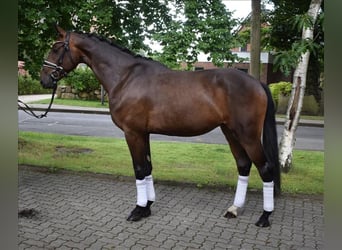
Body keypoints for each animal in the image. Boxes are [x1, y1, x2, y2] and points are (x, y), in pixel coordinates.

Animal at [40, 25, 280, 227]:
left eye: (55, 47)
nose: (44, 79)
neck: (126, 76)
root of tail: (256, 82)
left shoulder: (132, 133)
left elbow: (139, 168)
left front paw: (137, 210)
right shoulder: (143, 133)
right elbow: (147, 167)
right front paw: (147, 207)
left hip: (248, 135)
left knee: (265, 168)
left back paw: (265, 216)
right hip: (230, 132)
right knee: (244, 165)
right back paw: (234, 209)